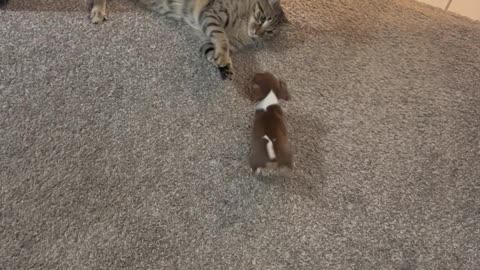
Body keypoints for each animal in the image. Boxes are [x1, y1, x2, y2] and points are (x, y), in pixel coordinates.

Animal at [87, 0, 288, 79]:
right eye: (262, 17)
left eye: (270, 32)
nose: (257, 33)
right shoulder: (211, 14)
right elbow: (221, 38)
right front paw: (224, 58)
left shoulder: (209, 41)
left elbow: (212, 51)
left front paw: (224, 66)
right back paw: (98, 11)